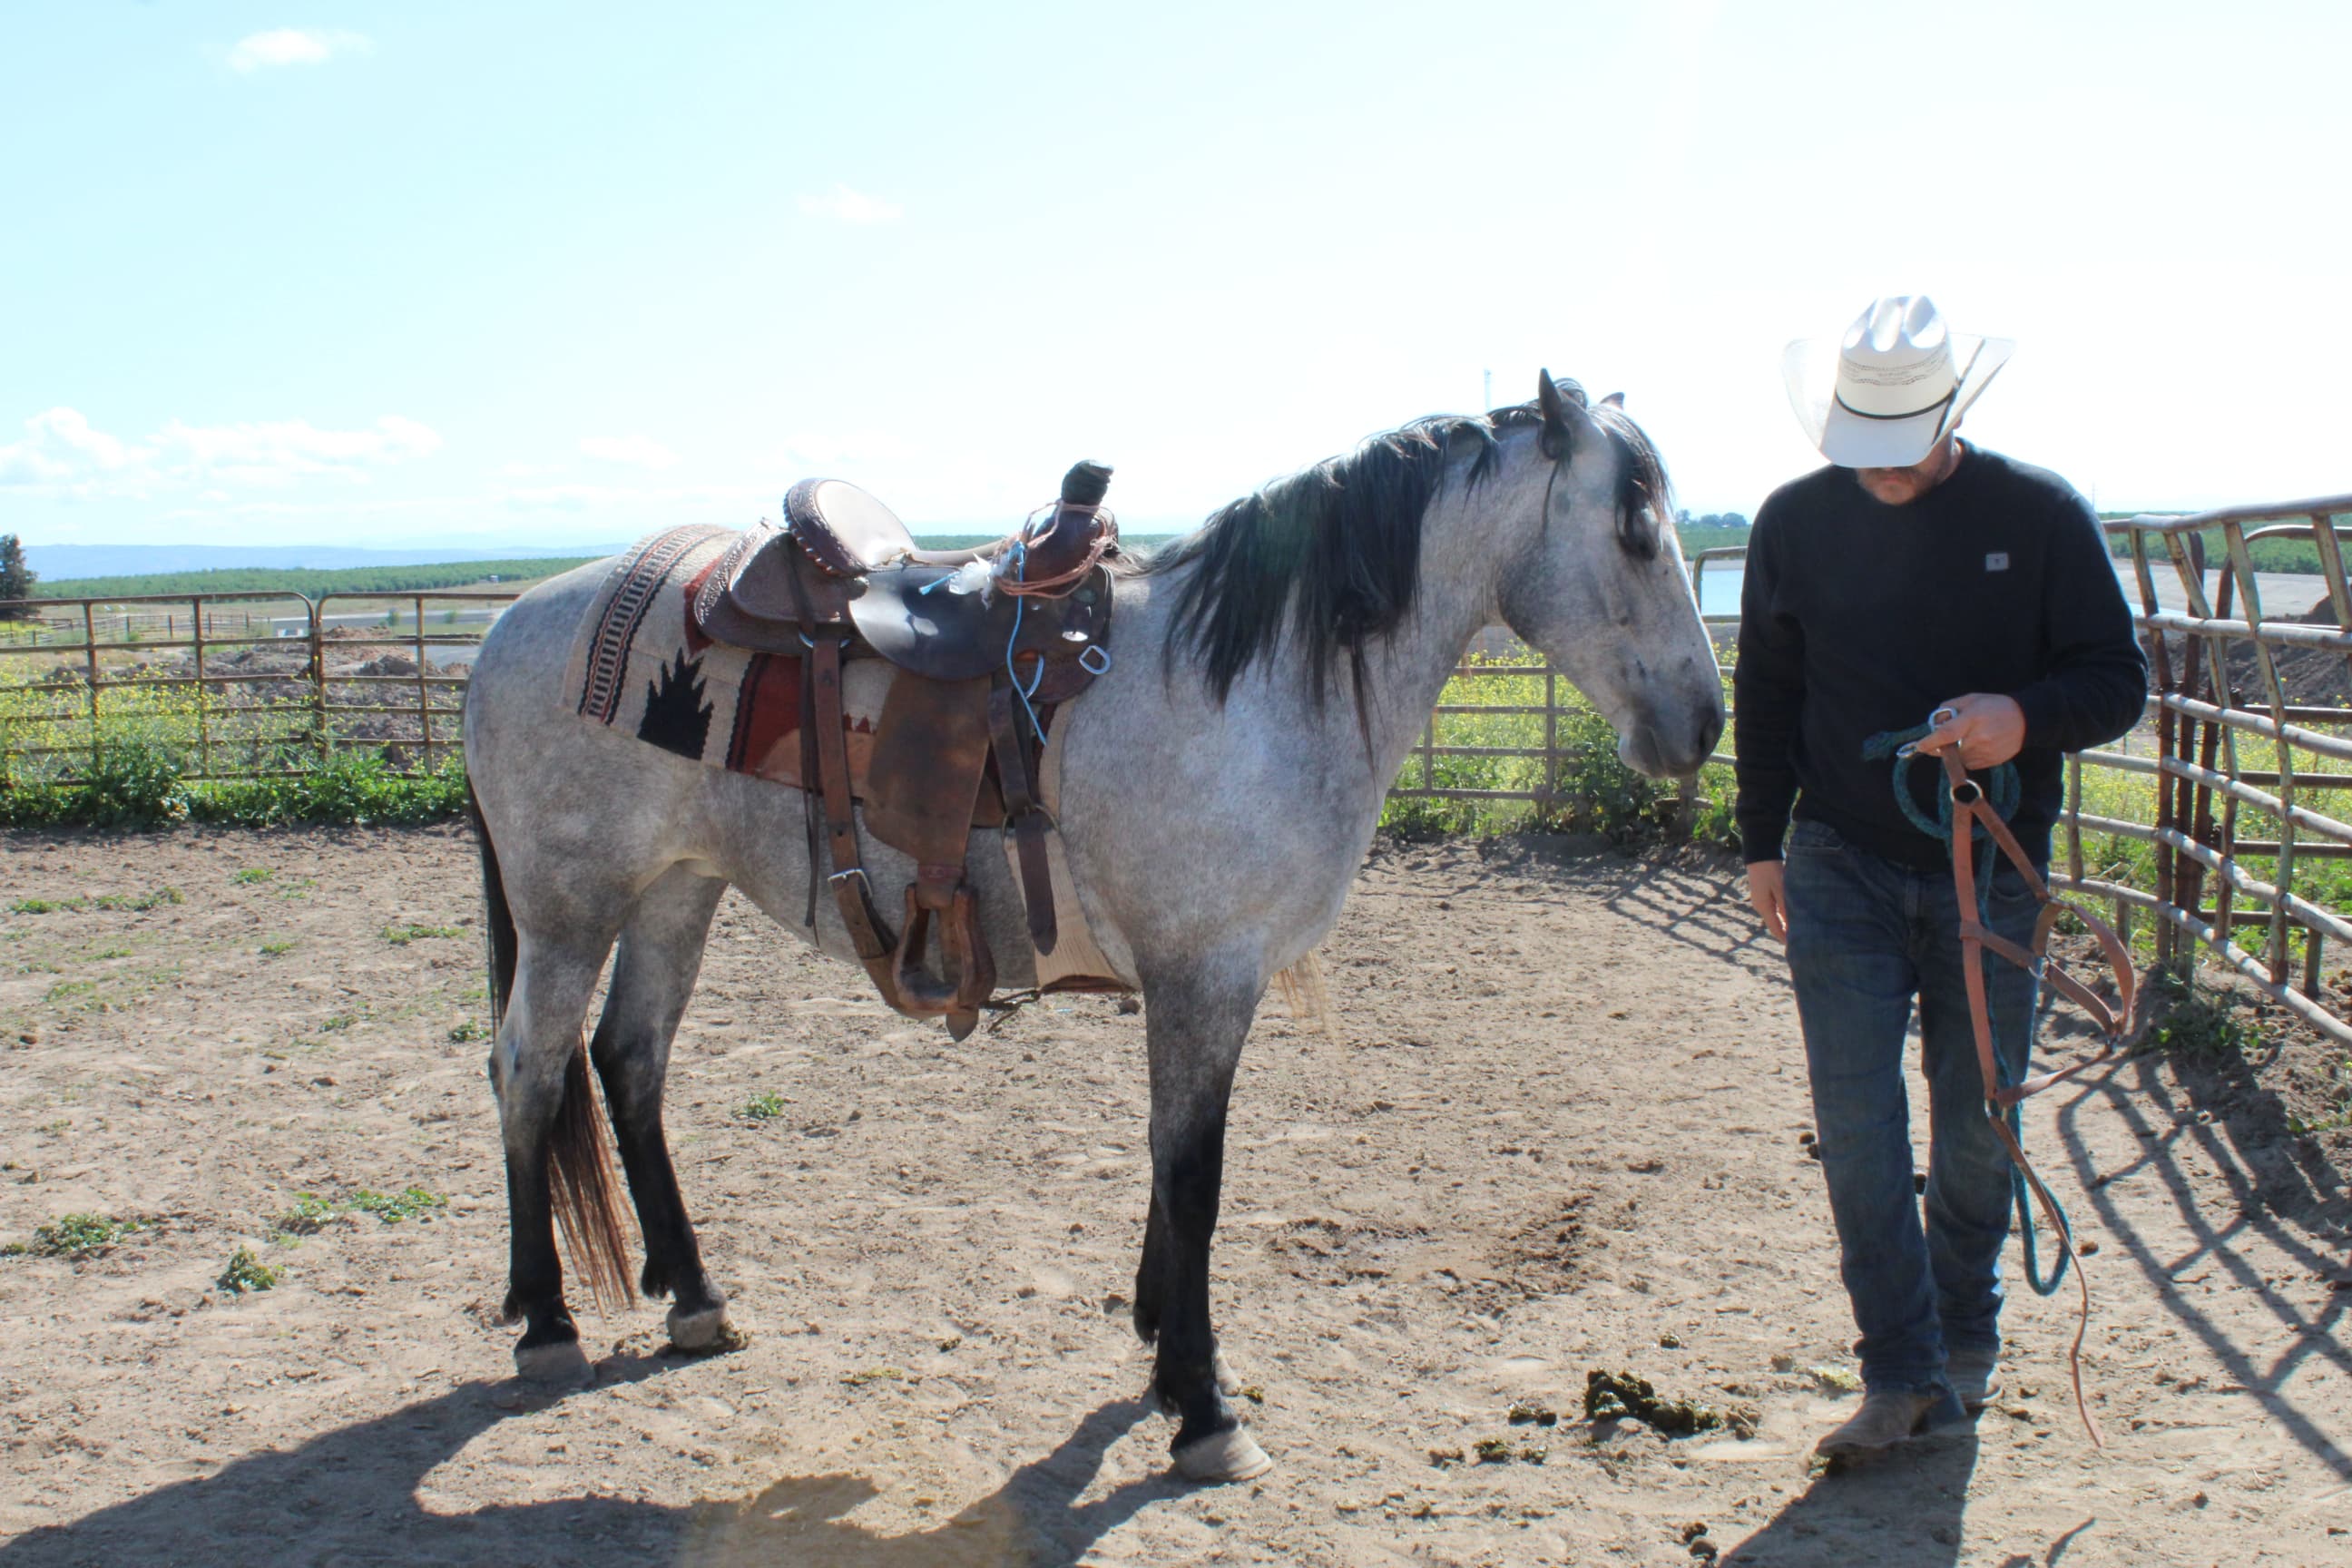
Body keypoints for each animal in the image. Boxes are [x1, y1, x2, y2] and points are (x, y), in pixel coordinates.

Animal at [460, 372, 1725, 1483]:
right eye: (1634, 528)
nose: (1706, 724)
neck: (1241, 686)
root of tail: (511, 624)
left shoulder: (1196, 985)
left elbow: (1171, 1168)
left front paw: (1163, 1356)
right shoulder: (1204, 978)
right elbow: (1196, 1174)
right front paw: (1206, 1410)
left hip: (677, 890)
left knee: (630, 1062)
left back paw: (695, 1297)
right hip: (570, 909)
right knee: (529, 1068)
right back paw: (547, 1323)